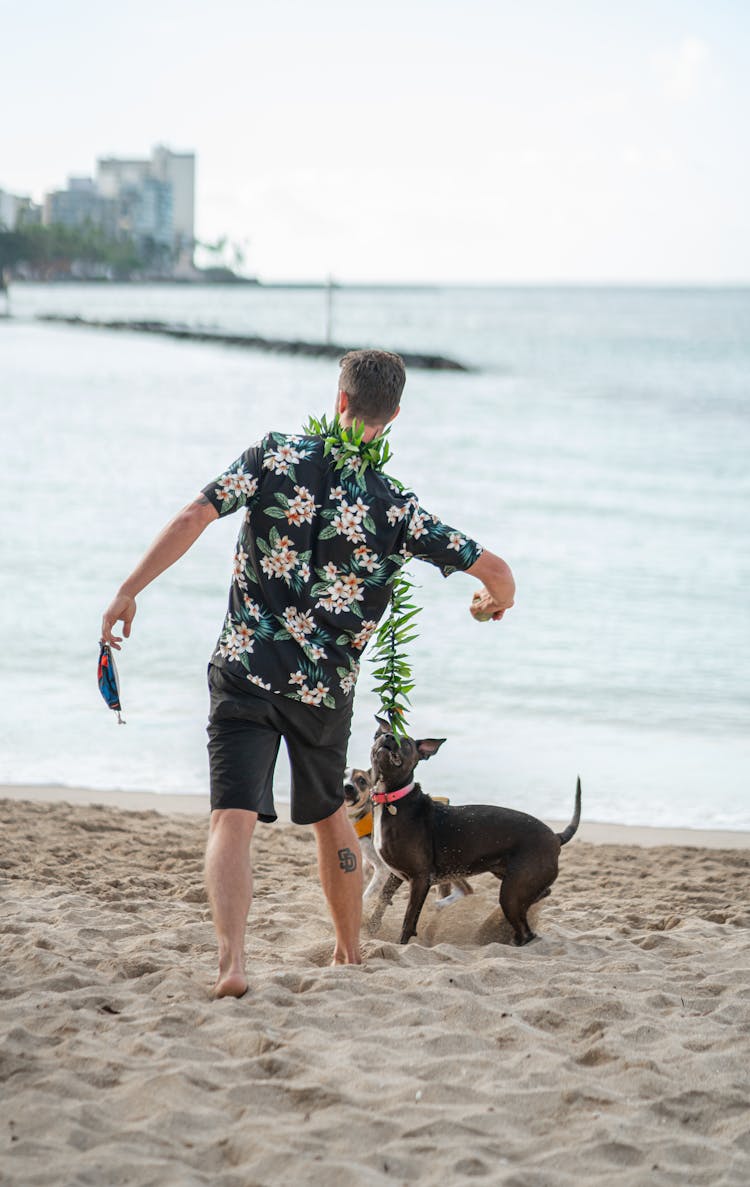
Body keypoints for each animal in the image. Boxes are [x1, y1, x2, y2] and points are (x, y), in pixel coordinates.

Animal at [370, 712, 579, 944]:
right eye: (383, 733)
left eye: (405, 741)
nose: (388, 737)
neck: (393, 798)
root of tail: (556, 837)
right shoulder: (397, 873)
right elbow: (382, 899)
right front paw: (370, 929)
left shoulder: (420, 878)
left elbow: (408, 919)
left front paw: (401, 943)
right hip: (509, 877)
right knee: (541, 897)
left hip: (512, 892)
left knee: (527, 931)